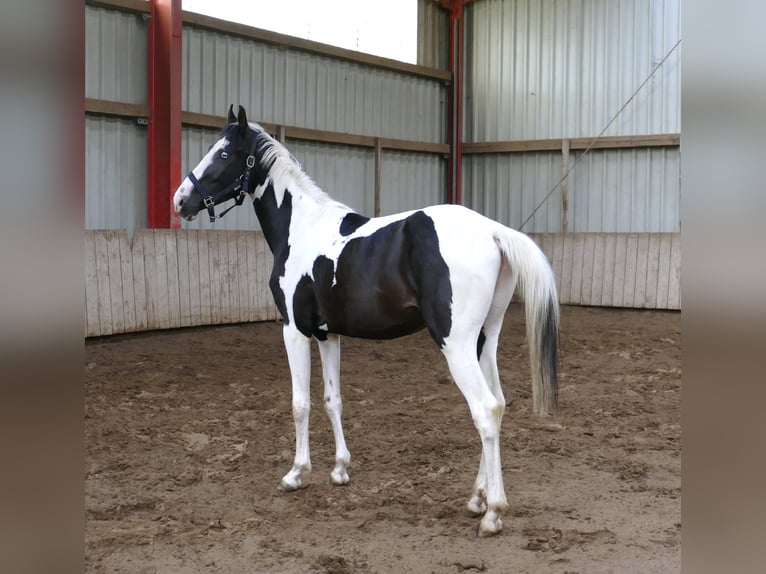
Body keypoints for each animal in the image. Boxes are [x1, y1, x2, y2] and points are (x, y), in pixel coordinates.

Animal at [173, 105, 560, 536]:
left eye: (223, 154)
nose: (180, 200)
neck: (302, 227)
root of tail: (493, 231)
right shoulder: (328, 335)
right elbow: (332, 400)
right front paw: (340, 470)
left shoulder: (294, 330)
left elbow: (300, 403)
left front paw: (296, 474)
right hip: (483, 342)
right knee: (499, 404)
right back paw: (477, 498)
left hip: (456, 345)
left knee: (485, 410)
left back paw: (493, 513)